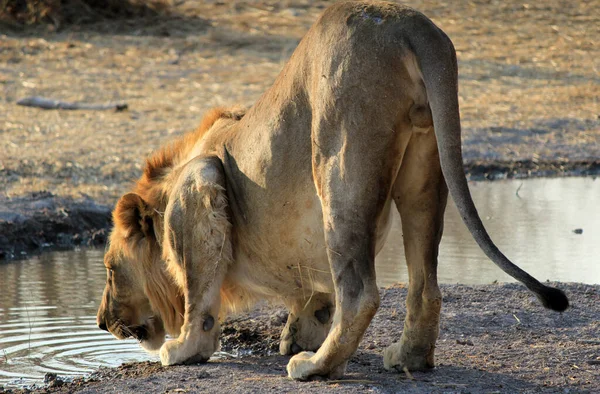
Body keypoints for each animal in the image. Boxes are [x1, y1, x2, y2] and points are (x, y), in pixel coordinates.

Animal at [96, 0, 568, 382]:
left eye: (110, 269)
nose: (100, 322)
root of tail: (410, 24)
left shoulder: (202, 177)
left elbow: (199, 294)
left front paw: (183, 349)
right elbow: (316, 296)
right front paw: (299, 333)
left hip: (337, 167)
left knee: (360, 293)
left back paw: (315, 367)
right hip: (424, 168)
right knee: (425, 284)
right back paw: (408, 358)